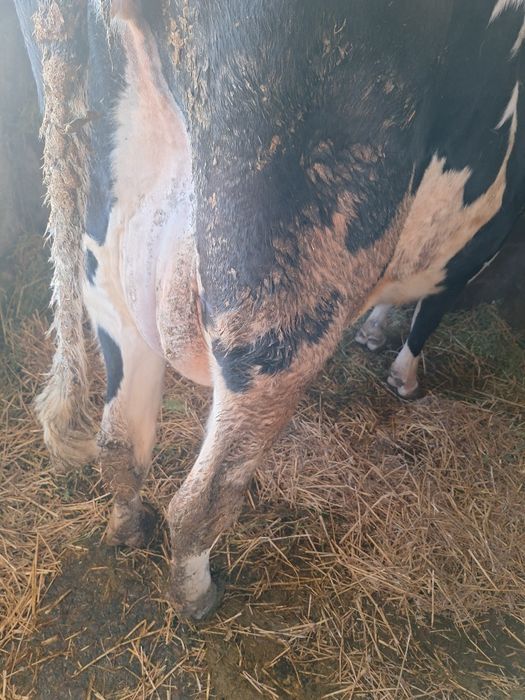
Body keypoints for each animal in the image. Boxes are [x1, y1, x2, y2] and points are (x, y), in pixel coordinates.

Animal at [14, 0, 525, 620]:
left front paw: (374, 333)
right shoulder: (480, 235)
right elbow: (432, 307)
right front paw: (403, 377)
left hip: (108, 278)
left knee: (120, 442)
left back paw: (129, 529)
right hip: (279, 313)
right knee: (202, 498)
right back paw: (196, 595)